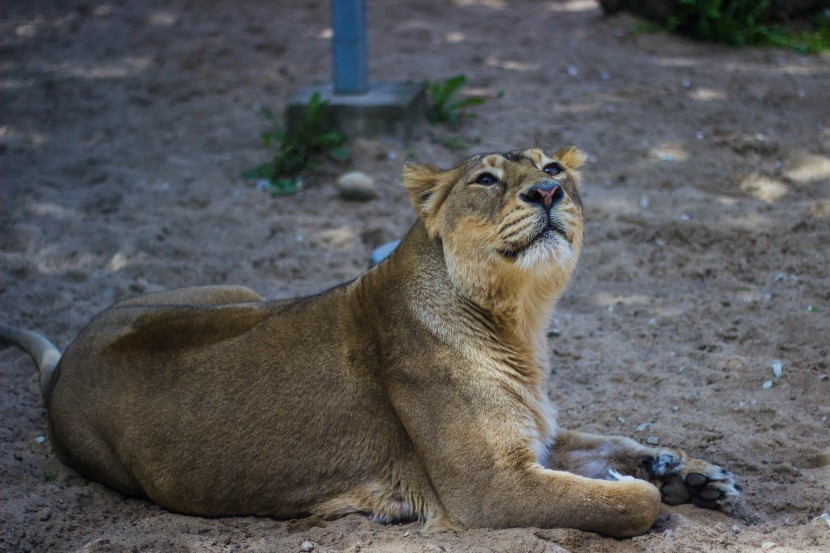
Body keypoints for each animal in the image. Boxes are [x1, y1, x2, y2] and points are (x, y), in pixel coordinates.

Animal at [0, 147, 740, 536]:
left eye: (554, 165)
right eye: (486, 178)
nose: (549, 190)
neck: (519, 324)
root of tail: (64, 366)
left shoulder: (536, 437)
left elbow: (607, 438)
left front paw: (692, 475)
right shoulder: (490, 489)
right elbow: (627, 502)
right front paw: (648, 485)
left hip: (239, 290)